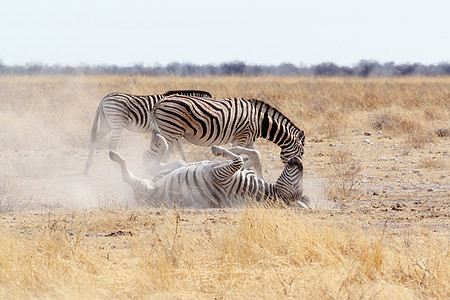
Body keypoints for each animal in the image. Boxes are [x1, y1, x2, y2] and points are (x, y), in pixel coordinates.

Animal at [83, 89, 213, 175]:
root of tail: (105, 98)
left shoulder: (171, 129)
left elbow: (175, 147)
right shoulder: (171, 128)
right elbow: (175, 148)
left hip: (107, 123)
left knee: (95, 141)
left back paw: (86, 169)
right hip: (117, 123)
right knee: (112, 145)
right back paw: (116, 169)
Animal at [109, 135, 308, 207]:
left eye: (299, 186)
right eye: (300, 177)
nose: (298, 160)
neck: (255, 187)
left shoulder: (220, 176)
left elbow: (237, 160)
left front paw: (218, 149)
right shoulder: (238, 170)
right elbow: (247, 156)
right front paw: (229, 149)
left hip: (144, 187)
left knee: (128, 174)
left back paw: (114, 155)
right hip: (174, 166)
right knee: (156, 166)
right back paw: (161, 140)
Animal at [148, 95, 306, 178]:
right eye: (302, 152)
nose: (298, 170)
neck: (260, 122)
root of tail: (158, 103)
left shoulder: (249, 140)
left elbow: (257, 161)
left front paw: (262, 180)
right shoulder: (241, 137)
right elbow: (241, 154)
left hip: (169, 132)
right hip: (171, 131)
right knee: (158, 153)